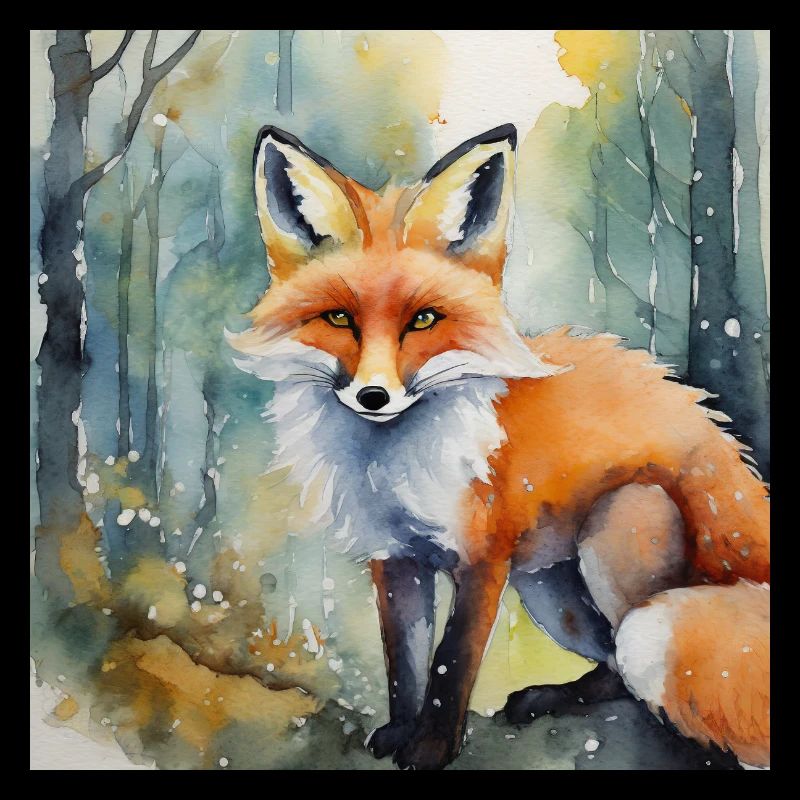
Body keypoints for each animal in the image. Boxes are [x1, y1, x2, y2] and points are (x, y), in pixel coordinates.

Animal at [231, 124, 770, 770]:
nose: (373, 395)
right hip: (549, 593)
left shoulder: (484, 555)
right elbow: (404, 662)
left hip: (619, 527)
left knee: (631, 666)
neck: (392, 468)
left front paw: (432, 745)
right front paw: (400, 729)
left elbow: (451, 661)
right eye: (339, 318)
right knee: (611, 664)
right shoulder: (396, 557)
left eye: (424, 320)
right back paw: (550, 696)